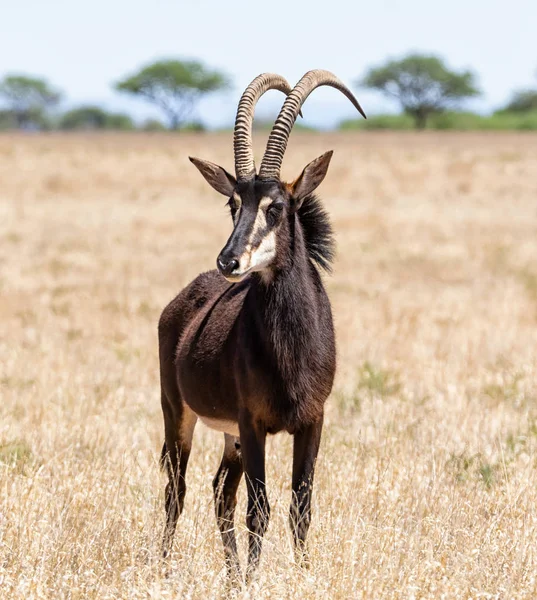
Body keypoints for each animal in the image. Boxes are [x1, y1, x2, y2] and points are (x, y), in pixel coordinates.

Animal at [156, 70, 364, 580]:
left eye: (275, 207)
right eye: (233, 205)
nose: (229, 261)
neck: (291, 347)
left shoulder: (312, 421)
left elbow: (300, 507)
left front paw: (301, 576)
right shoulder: (253, 425)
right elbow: (260, 509)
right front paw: (255, 580)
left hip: (228, 436)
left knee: (219, 493)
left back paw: (230, 577)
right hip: (179, 414)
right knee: (177, 490)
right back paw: (164, 568)